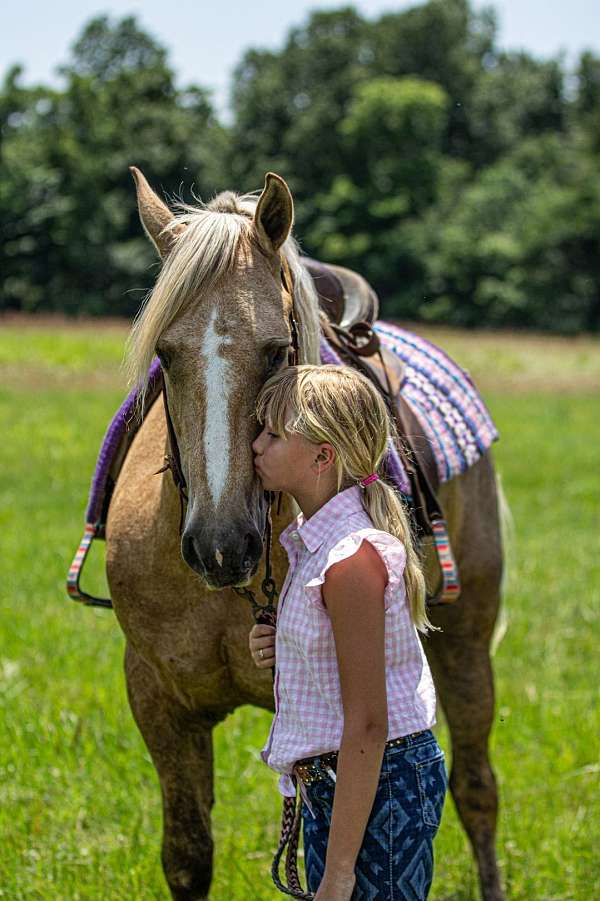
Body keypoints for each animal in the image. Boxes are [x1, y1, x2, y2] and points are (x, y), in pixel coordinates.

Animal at [105, 167, 505, 901]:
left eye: (276, 352)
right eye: (165, 354)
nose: (220, 544)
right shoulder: (157, 699)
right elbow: (187, 854)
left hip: (467, 641)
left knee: (475, 787)